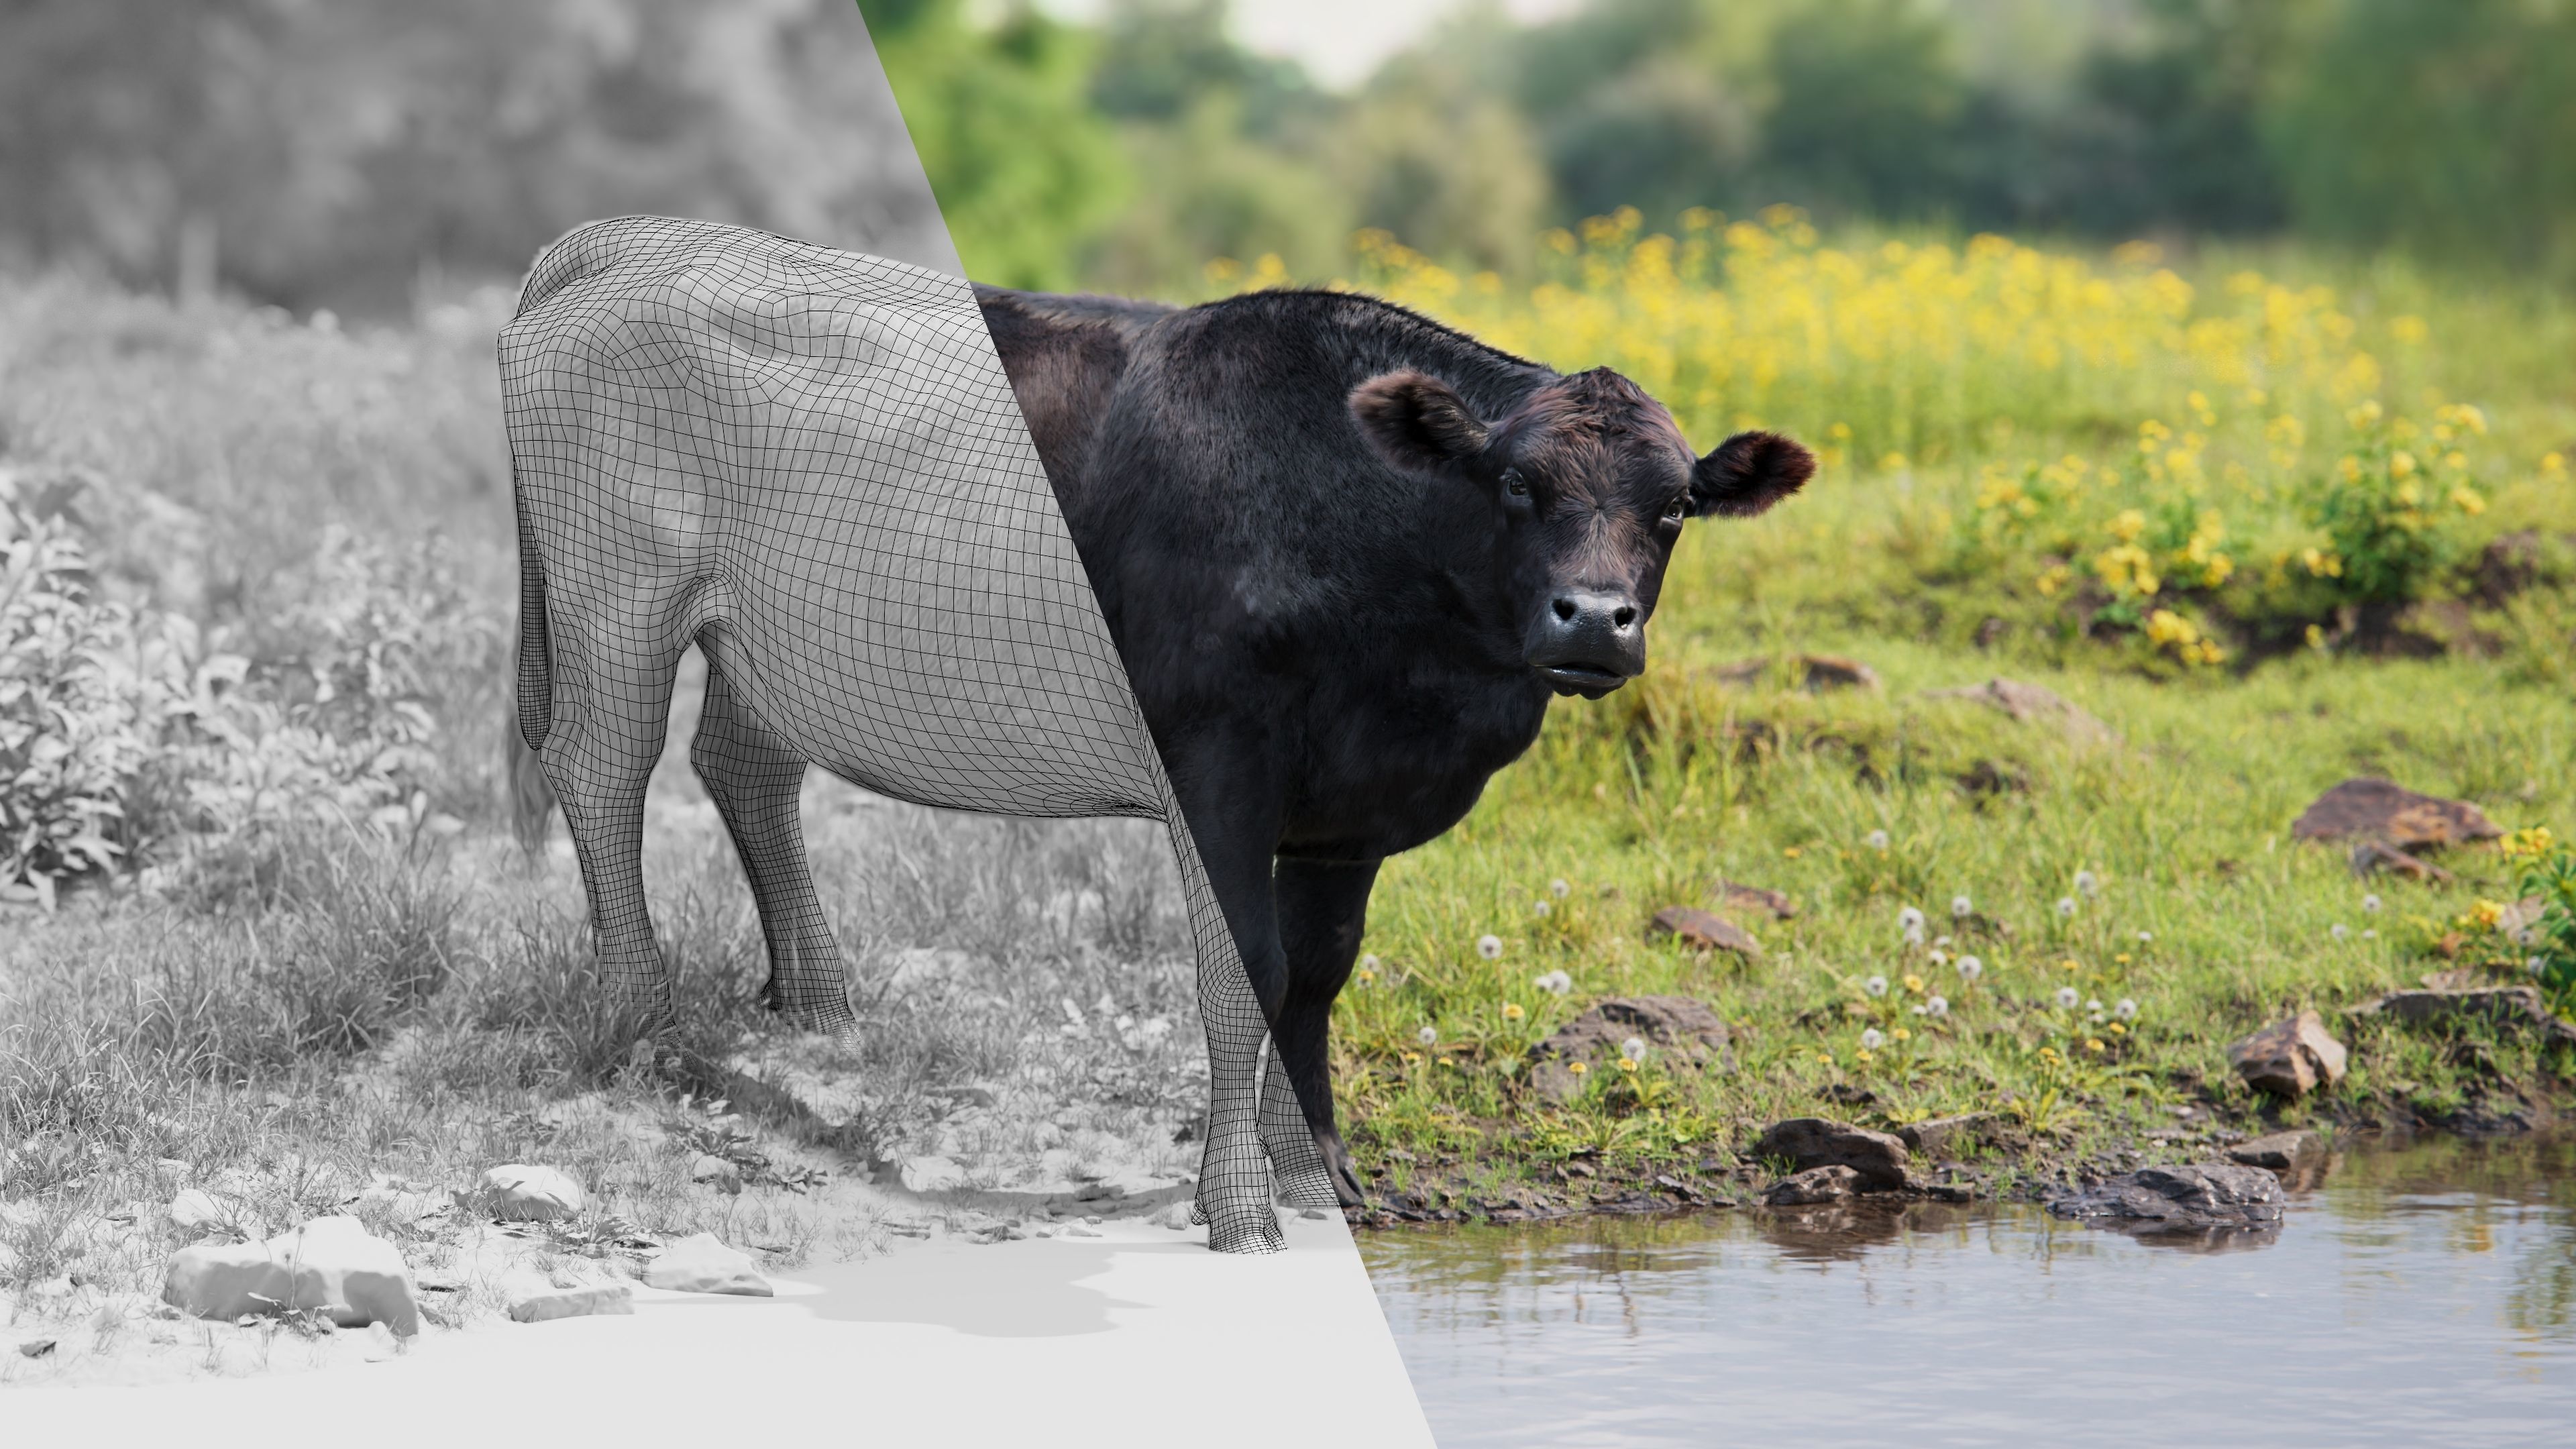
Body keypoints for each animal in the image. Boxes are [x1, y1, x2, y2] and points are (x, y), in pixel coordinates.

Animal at [502, 217, 1811, 1250]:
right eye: (1517, 487)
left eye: (1674, 508)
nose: (1594, 618)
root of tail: (624, 240)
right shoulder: (1218, 765)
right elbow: (1245, 973)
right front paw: (1238, 1206)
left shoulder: (1349, 806)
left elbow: (1319, 973)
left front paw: (1318, 1169)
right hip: (617, 591)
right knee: (604, 771)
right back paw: (642, 1020)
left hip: (765, 624)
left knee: (746, 766)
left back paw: (819, 1005)